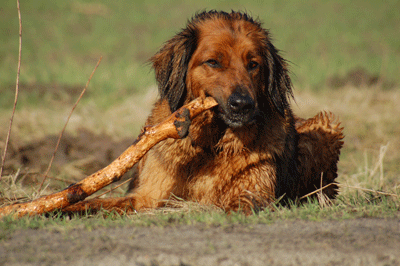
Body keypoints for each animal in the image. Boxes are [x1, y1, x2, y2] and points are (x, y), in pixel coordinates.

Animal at [64, 9, 342, 214]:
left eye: (253, 64)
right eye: (213, 62)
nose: (242, 104)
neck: (209, 146)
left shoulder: (254, 190)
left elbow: (236, 203)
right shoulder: (147, 196)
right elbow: (96, 203)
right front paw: (62, 208)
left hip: (326, 127)